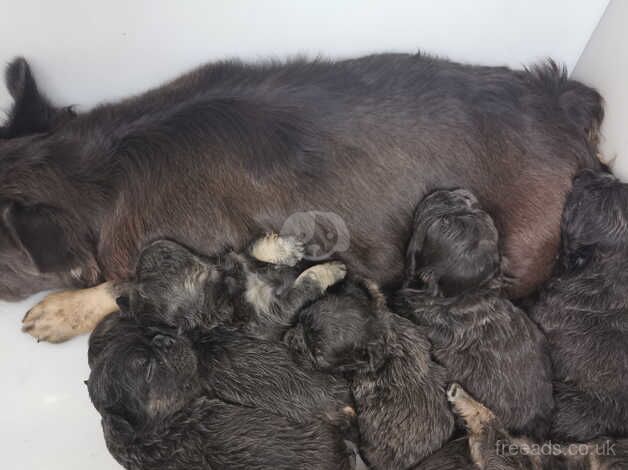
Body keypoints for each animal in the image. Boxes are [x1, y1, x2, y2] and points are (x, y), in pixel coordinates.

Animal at [1, 54, 604, 342]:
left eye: (4, 266)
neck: (97, 174)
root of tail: (562, 108)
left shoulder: (194, 266)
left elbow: (119, 287)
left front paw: (55, 314)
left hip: (518, 252)